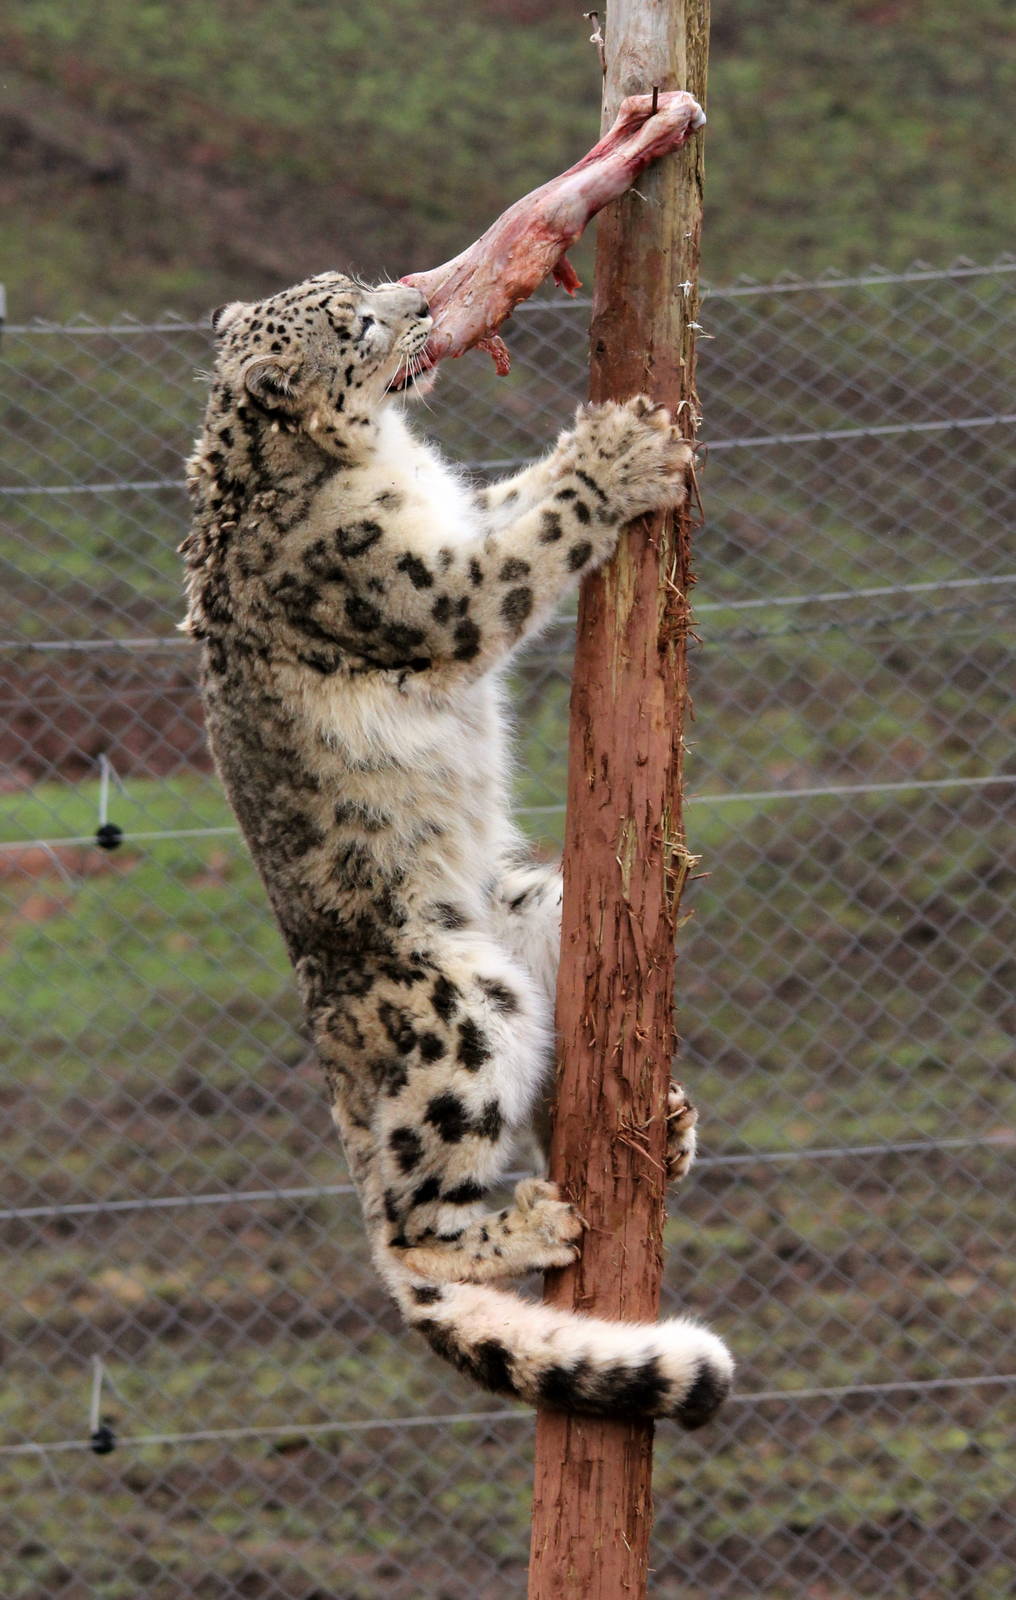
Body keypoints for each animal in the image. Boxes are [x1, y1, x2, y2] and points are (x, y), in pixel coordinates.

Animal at [181, 270, 733, 1427]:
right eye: (355, 326)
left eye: (348, 289)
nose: (419, 302)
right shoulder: (427, 584)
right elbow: (526, 551)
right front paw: (618, 456)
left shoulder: (461, 515)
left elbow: (513, 499)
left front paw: (597, 438)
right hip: (454, 1011)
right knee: (413, 1226)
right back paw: (527, 1223)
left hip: (541, 913)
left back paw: (663, 1123)